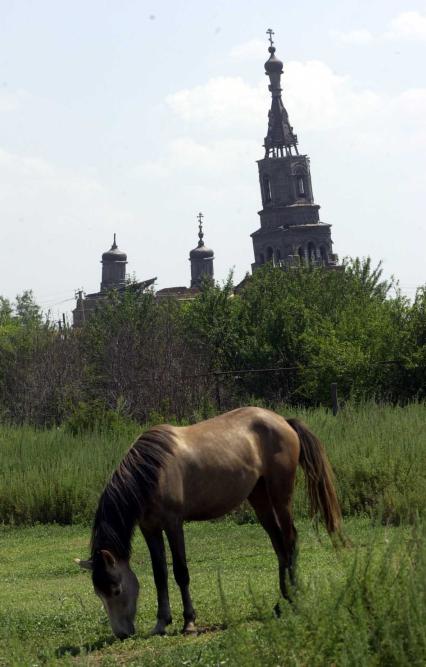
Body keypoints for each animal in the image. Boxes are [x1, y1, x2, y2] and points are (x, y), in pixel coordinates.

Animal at [77, 404, 342, 640]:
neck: (152, 472)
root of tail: (283, 421)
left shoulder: (173, 523)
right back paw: (280, 603)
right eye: (98, 593)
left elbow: (180, 572)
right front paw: (161, 623)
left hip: (281, 493)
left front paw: (189, 623)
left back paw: (293, 600)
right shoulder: (149, 528)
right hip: (259, 497)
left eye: (116, 589)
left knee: (290, 540)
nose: (122, 634)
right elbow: (159, 574)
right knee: (279, 545)